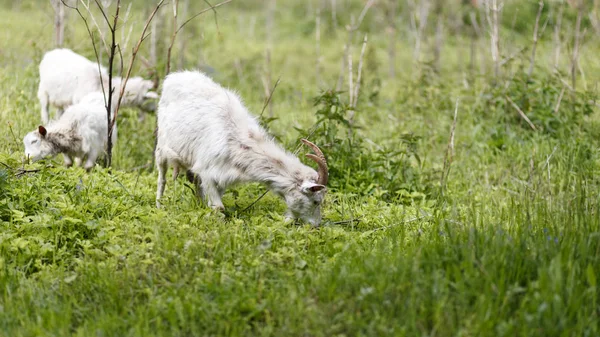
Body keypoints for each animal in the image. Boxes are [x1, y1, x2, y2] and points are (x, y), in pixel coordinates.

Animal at [155, 70, 328, 226]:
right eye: (316, 201)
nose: (316, 224)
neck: (240, 142)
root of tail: (174, 76)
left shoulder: (222, 177)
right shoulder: (207, 171)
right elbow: (218, 207)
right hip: (161, 144)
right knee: (162, 178)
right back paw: (159, 205)